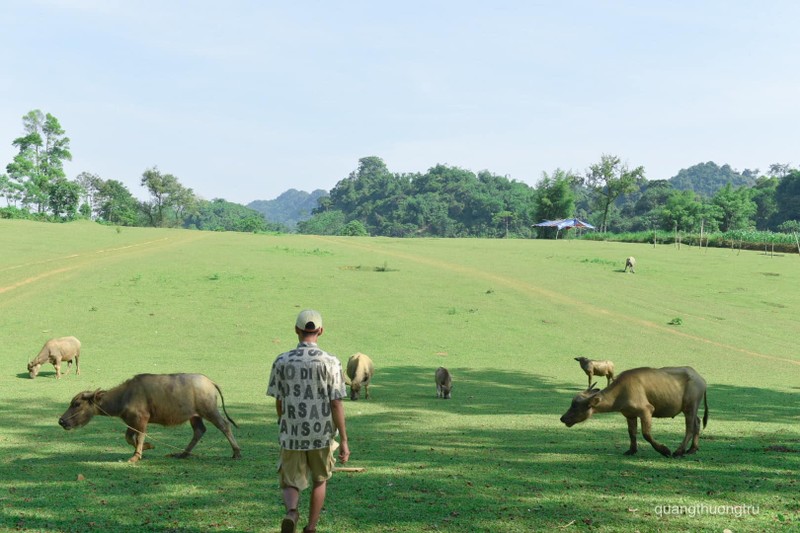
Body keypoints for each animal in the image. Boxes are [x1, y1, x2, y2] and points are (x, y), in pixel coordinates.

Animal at [58, 370, 241, 462]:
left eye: (76, 404)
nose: (61, 421)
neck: (125, 395)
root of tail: (209, 382)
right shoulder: (131, 421)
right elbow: (129, 438)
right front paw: (148, 447)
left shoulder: (141, 420)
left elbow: (139, 437)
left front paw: (136, 456)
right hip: (194, 416)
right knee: (199, 431)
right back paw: (182, 454)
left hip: (209, 410)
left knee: (224, 425)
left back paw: (237, 452)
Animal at [560, 366, 708, 458]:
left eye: (575, 406)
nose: (563, 418)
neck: (621, 391)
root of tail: (701, 379)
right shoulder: (629, 415)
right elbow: (631, 433)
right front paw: (632, 450)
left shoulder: (646, 411)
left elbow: (646, 434)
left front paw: (664, 450)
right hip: (691, 409)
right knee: (697, 422)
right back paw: (692, 449)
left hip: (690, 407)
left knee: (689, 428)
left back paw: (679, 451)